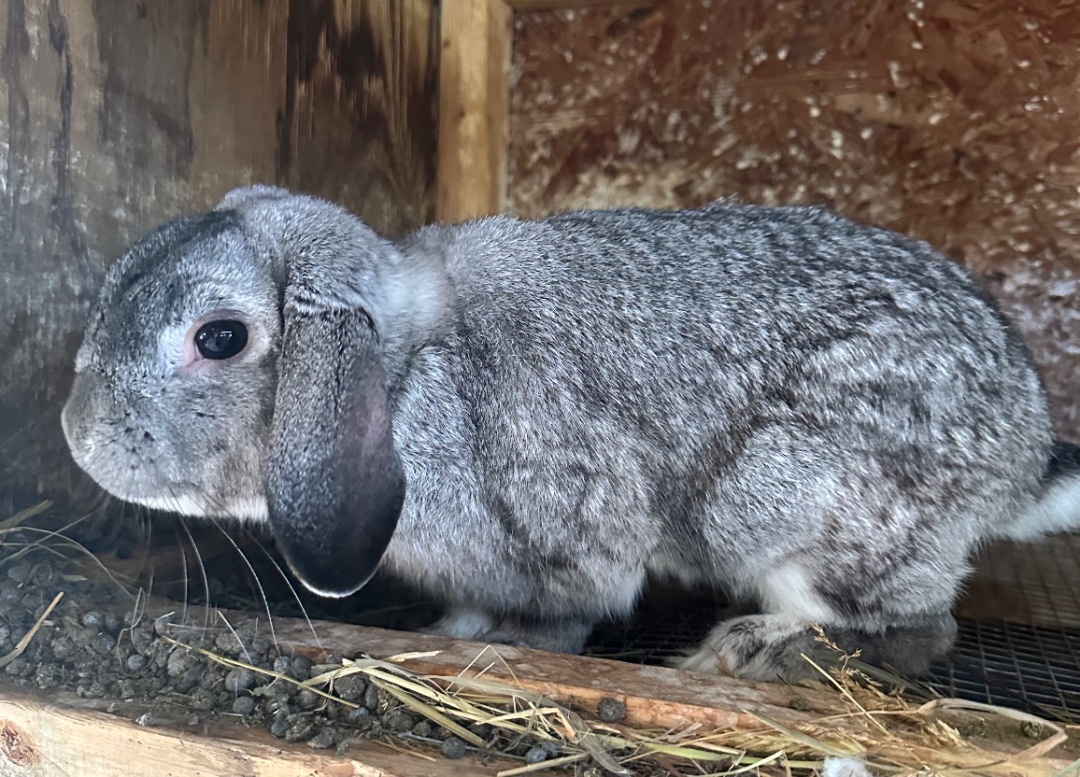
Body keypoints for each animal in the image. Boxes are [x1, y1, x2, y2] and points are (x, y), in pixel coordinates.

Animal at [63, 186, 1080, 682]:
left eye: (219, 339)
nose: (77, 434)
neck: (405, 370)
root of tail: (1025, 451)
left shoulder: (566, 535)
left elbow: (566, 612)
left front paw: (509, 645)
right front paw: (447, 629)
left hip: (788, 503)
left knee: (913, 625)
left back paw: (748, 652)